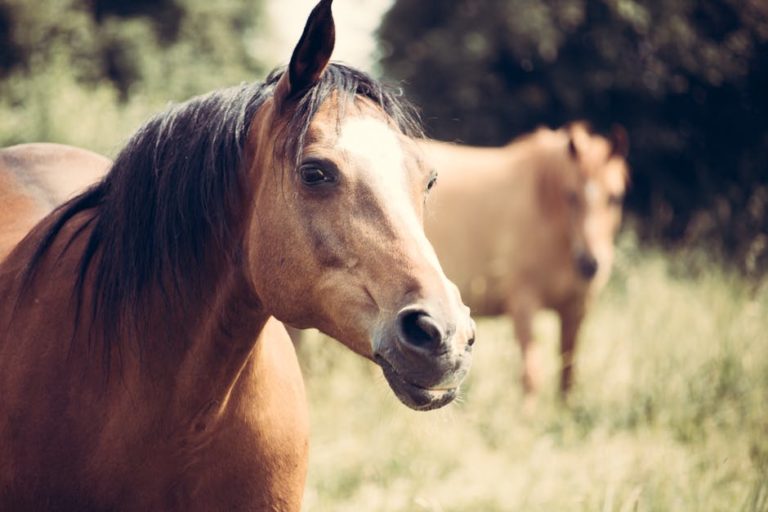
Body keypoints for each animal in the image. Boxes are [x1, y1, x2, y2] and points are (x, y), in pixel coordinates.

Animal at [420, 122, 632, 398]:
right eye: (571, 195)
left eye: (615, 197)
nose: (590, 263)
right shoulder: (523, 303)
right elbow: (531, 376)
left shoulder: (576, 307)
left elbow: (568, 373)